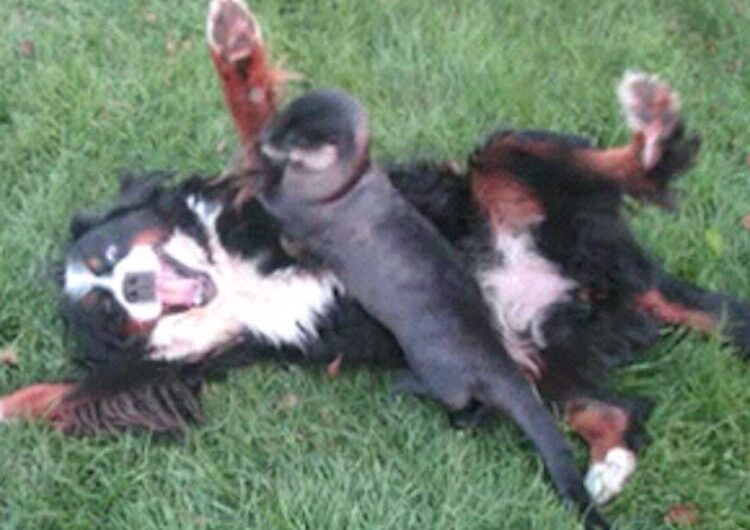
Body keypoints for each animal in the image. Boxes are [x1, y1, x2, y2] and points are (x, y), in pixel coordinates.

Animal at [1, 0, 750, 516]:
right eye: (105, 308)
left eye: (115, 252)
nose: (134, 286)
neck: (225, 272)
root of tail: (612, 279)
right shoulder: (181, 363)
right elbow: (78, 391)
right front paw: (13, 404)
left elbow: (252, 116)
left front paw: (235, 45)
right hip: (542, 363)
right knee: (621, 409)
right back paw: (606, 468)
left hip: (512, 161)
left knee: (627, 168)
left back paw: (651, 126)